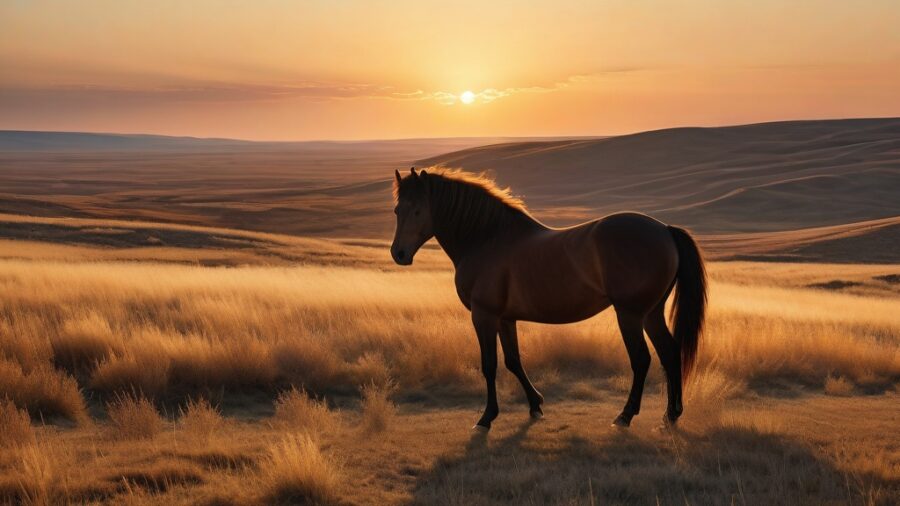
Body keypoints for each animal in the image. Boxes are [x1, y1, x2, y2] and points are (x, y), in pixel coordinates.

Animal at [390, 167, 706, 431]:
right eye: (397, 210)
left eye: (418, 210)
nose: (399, 254)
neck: (487, 239)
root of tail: (664, 229)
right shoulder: (505, 318)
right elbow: (513, 361)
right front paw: (535, 405)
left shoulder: (484, 316)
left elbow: (489, 365)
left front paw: (486, 417)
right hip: (651, 313)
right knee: (669, 353)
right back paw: (671, 414)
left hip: (629, 314)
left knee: (641, 359)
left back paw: (625, 415)